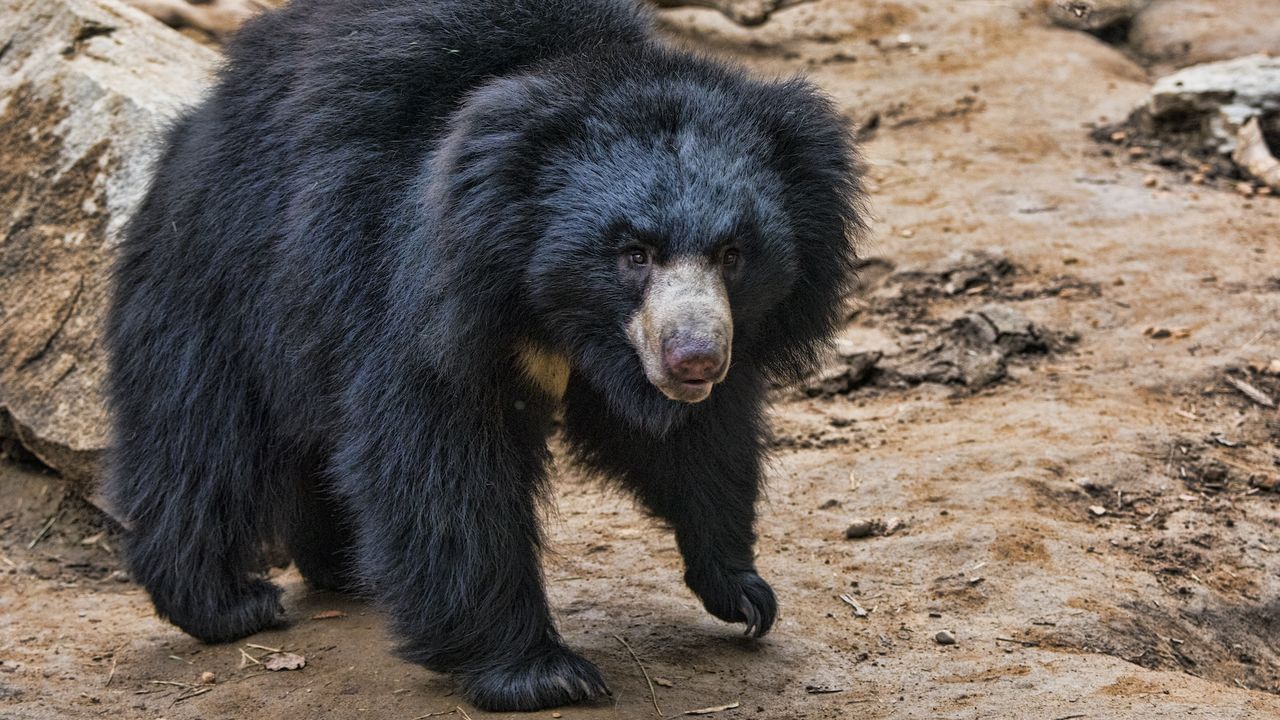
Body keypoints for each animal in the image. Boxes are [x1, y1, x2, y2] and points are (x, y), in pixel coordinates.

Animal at [104, 0, 865, 711]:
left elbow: (695, 444)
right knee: (203, 436)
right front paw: (543, 675)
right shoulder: (414, 286)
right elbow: (439, 463)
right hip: (220, 274)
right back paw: (228, 603)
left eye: (733, 254)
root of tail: (195, 128)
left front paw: (742, 591)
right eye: (633, 253)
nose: (695, 360)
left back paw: (343, 567)